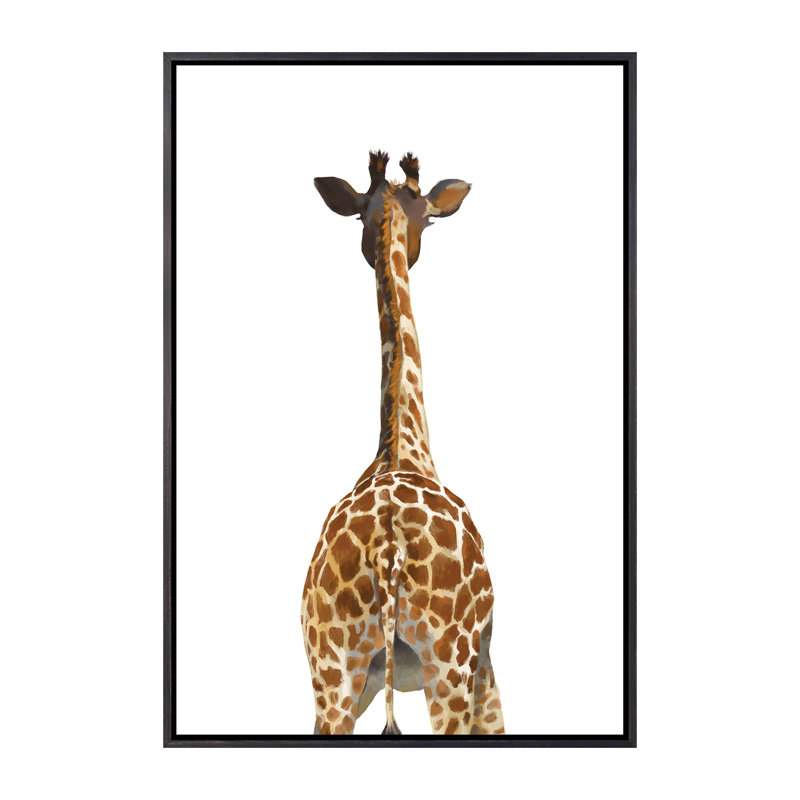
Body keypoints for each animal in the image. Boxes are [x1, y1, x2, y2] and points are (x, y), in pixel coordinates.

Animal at [301, 151, 504, 736]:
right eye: (430, 219)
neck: (404, 446)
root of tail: (387, 548)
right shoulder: (487, 667)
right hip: (449, 665)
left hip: (333, 676)